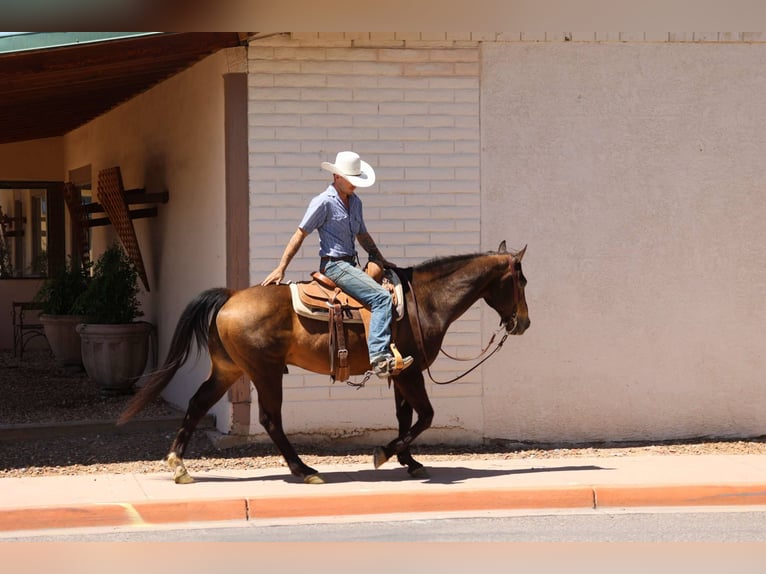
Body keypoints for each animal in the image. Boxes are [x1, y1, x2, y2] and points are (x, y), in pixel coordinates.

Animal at [118, 241, 529, 484]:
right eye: (521, 281)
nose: (523, 323)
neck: (421, 302)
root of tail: (230, 296)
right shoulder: (412, 372)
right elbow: (425, 416)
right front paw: (385, 453)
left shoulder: (399, 373)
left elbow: (405, 416)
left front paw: (409, 461)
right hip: (265, 372)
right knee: (269, 419)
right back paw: (304, 469)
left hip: (228, 369)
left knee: (197, 404)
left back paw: (179, 465)